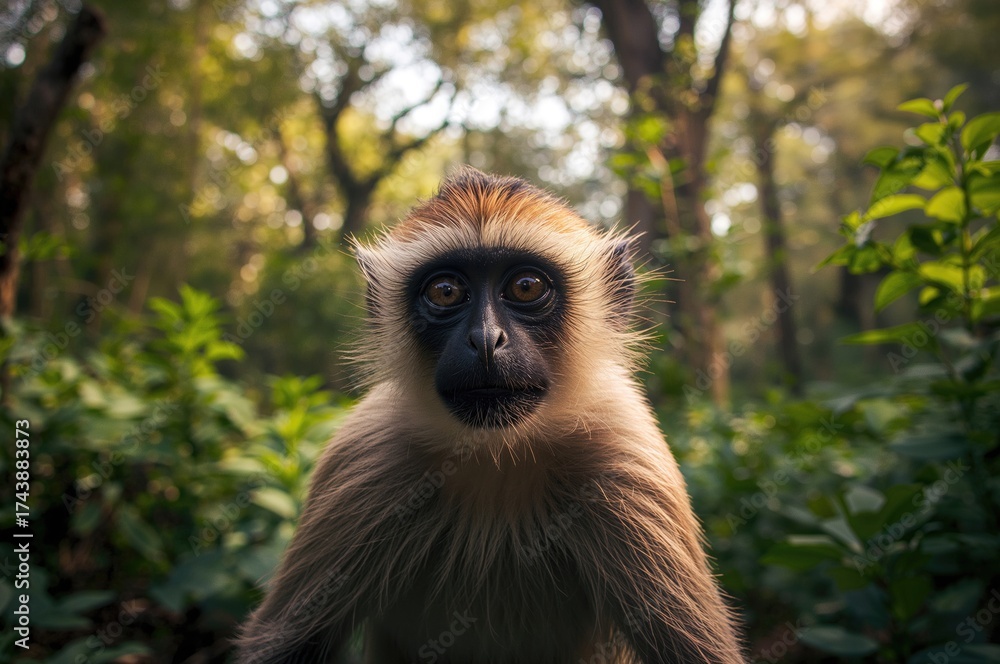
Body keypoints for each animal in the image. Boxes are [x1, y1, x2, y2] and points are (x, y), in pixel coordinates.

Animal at [236, 168, 744, 663]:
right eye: (446, 292)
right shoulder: (367, 452)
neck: (497, 454)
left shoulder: (624, 449)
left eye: (526, 286)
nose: (485, 340)